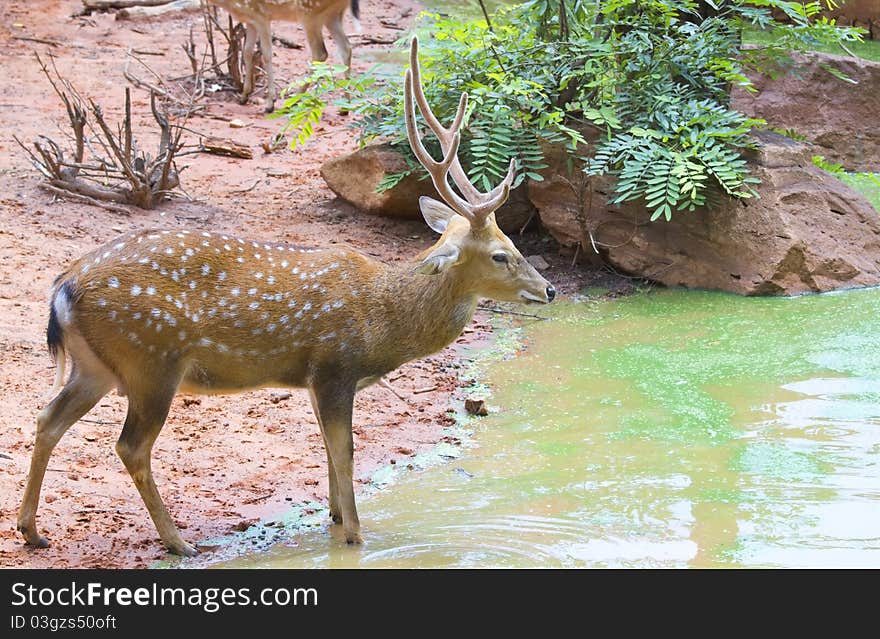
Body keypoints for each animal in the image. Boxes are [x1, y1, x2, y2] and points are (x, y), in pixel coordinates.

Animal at [18, 37, 556, 556]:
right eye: (501, 254)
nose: (549, 289)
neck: (382, 322)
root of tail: (63, 288)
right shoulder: (335, 366)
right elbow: (345, 453)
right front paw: (356, 536)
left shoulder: (316, 379)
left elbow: (327, 451)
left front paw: (334, 518)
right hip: (151, 360)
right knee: (130, 446)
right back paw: (178, 542)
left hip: (97, 366)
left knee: (47, 417)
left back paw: (32, 531)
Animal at [208, 0, 360, 112]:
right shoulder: (250, 20)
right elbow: (247, 52)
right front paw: (244, 96)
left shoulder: (261, 16)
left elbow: (266, 54)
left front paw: (270, 103)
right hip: (332, 15)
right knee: (346, 48)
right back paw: (346, 105)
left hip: (310, 14)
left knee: (320, 53)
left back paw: (294, 99)